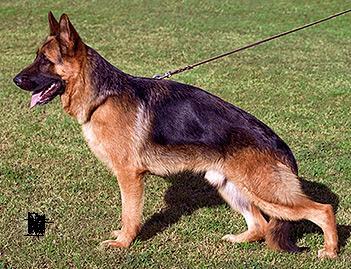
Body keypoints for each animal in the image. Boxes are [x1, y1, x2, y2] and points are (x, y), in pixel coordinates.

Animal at [13, 12, 338, 258]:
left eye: (45, 60)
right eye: (36, 57)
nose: (15, 80)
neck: (102, 97)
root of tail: (280, 144)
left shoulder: (130, 176)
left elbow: (130, 214)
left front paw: (123, 243)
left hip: (268, 193)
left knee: (323, 210)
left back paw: (330, 251)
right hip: (230, 185)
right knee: (259, 226)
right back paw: (239, 240)